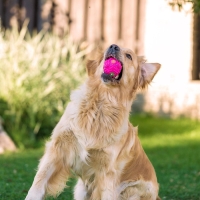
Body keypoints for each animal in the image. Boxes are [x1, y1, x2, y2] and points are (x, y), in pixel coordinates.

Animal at [25, 44, 161, 199]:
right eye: (108, 49)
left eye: (129, 56)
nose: (113, 46)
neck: (101, 104)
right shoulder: (57, 149)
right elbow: (39, 182)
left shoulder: (107, 171)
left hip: (133, 190)